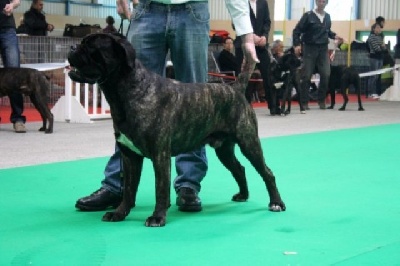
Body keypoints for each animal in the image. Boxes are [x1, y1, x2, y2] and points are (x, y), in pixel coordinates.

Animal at [68, 32, 284, 227]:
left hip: (249, 142)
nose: (72, 47)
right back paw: (243, 195)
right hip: (224, 149)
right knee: (239, 168)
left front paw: (157, 217)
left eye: (91, 47)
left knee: (267, 172)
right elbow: (128, 190)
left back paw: (276, 203)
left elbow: (160, 189)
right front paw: (119, 213)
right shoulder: (129, 156)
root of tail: (235, 87)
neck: (129, 90)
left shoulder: (160, 156)